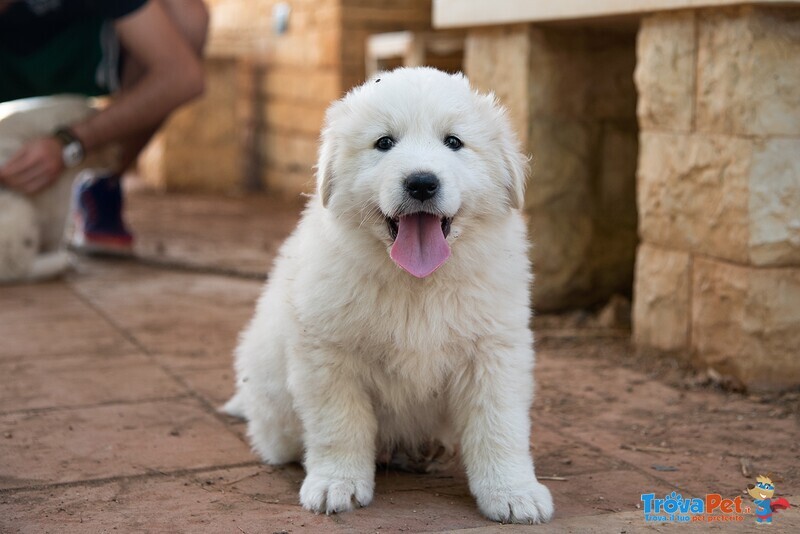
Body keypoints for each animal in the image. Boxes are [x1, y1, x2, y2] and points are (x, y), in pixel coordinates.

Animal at [223, 66, 552, 524]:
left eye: (453, 142)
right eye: (384, 143)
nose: (422, 183)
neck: (417, 281)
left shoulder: (494, 350)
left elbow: (498, 426)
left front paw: (513, 492)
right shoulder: (329, 354)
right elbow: (339, 425)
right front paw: (336, 483)